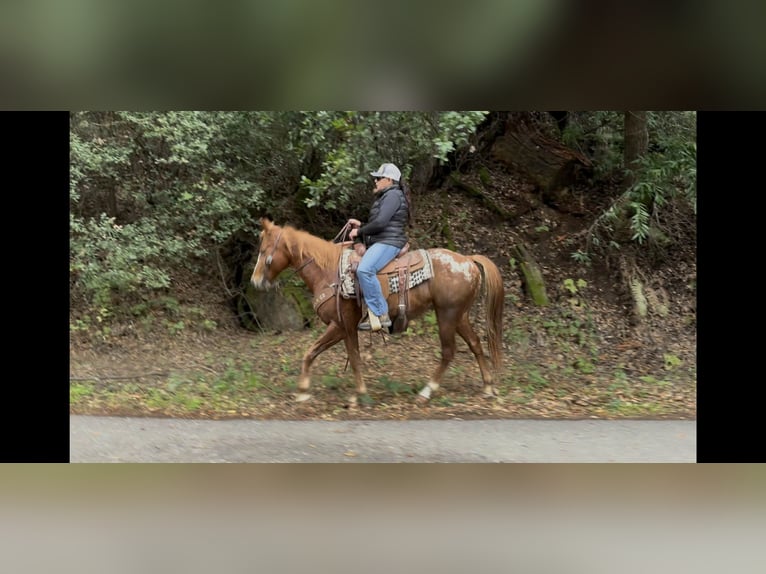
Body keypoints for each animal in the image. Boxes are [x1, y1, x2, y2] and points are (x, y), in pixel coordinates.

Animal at [250, 217, 504, 406]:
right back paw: (488, 386)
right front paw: (305, 390)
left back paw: (426, 391)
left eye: (263, 251)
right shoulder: (344, 328)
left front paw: (356, 394)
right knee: (475, 344)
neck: (329, 271)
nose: (255, 281)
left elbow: (343, 356)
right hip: (459, 315)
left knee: (449, 351)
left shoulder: (342, 325)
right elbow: (317, 353)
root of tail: (468, 260)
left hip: (447, 315)